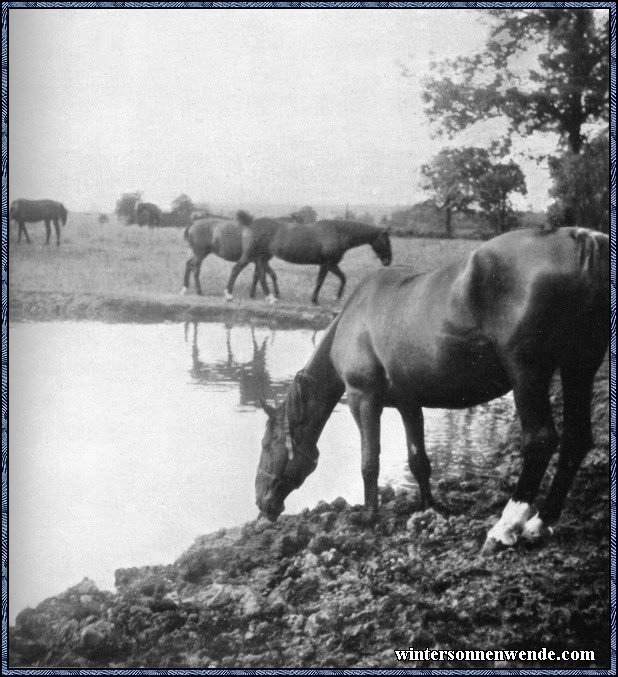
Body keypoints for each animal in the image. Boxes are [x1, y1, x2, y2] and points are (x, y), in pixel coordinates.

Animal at [225, 214, 390, 304]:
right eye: (386, 241)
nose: (388, 261)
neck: (337, 232)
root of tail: (250, 223)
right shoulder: (327, 264)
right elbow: (321, 281)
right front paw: (317, 300)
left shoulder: (331, 264)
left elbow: (341, 278)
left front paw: (335, 297)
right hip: (251, 255)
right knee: (236, 269)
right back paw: (229, 295)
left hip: (262, 257)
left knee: (261, 275)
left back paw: (271, 297)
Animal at [255, 227, 608, 548]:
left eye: (267, 443)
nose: (261, 501)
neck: (354, 315)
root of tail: (579, 240)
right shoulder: (409, 404)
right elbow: (418, 461)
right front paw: (429, 507)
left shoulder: (363, 399)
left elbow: (370, 461)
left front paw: (369, 517)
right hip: (578, 368)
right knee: (576, 440)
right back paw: (542, 521)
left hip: (528, 374)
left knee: (541, 441)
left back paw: (505, 527)